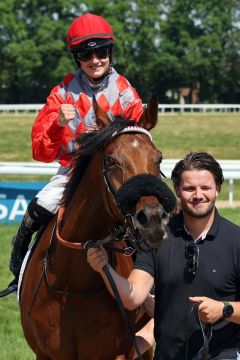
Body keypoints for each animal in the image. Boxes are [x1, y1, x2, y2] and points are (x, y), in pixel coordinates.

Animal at [19, 96, 176, 360]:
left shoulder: (116, 352)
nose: (152, 219)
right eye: (111, 160)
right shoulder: (46, 353)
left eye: (159, 158)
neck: (72, 283)